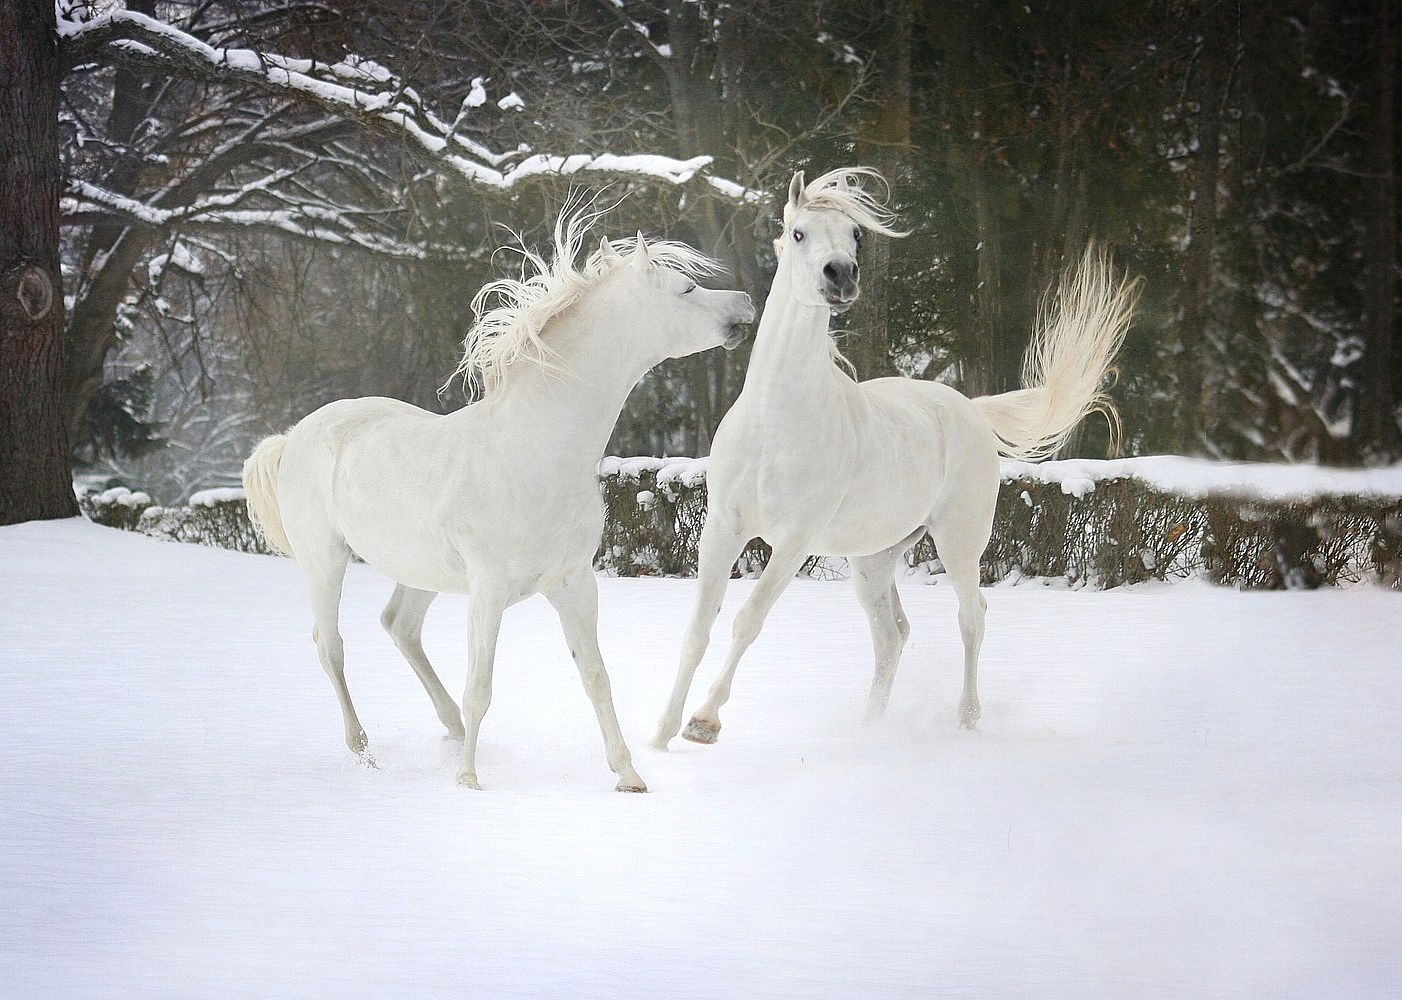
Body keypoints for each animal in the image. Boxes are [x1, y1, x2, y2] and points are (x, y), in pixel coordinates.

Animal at [242, 200, 755, 791]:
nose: (745, 302)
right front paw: (469, 782)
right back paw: (364, 750)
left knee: (400, 627)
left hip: (420, 571)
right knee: (332, 647)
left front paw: (628, 775)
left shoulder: (574, 584)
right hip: (324, 562)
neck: (532, 451)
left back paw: (453, 732)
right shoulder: (488, 593)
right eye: (685, 289)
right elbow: (481, 687)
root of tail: (293, 437)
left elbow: (595, 676)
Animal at [653, 167, 1139, 750]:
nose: (841, 275)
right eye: (798, 233)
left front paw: (703, 723)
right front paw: (659, 736)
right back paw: (870, 729)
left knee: (971, 616)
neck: (776, 419)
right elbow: (698, 626)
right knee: (891, 636)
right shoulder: (723, 527)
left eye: (856, 235)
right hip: (873, 559)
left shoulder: (794, 541)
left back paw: (967, 720)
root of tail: (970, 409)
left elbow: (748, 619)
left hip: (959, 541)